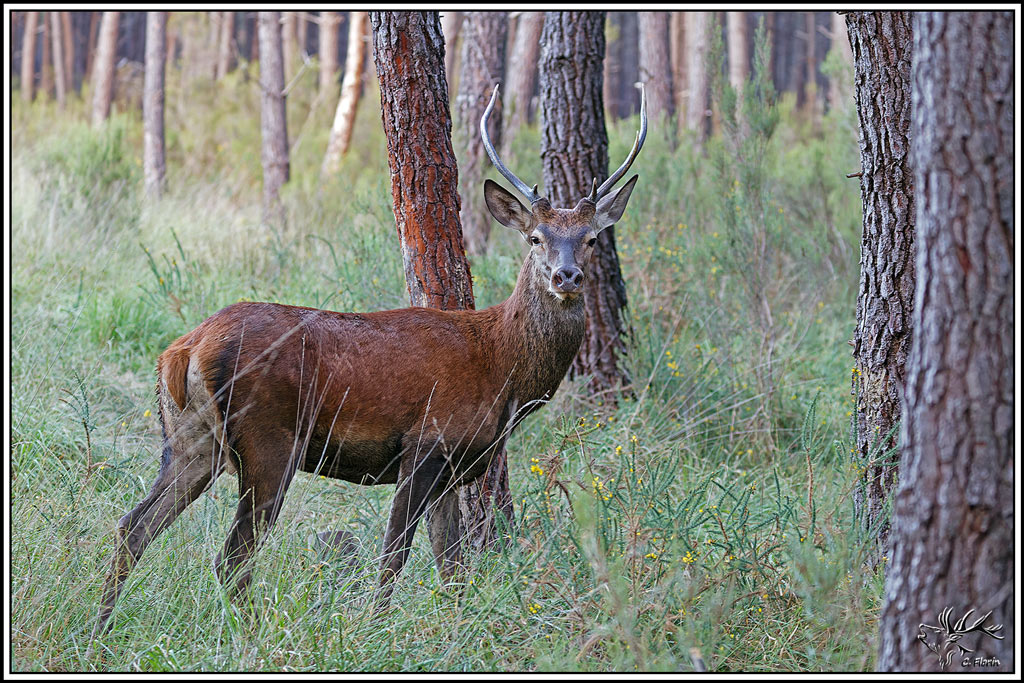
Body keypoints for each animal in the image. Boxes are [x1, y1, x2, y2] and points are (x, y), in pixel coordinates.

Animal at [90, 84, 646, 642]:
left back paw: (98, 632)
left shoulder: (452, 466)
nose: (566, 276)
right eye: (535, 238)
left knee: (133, 527)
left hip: (190, 439)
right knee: (231, 558)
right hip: (267, 440)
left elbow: (452, 568)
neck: (501, 370)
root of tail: (183, 349)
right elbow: (393, 558)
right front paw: (374, 630)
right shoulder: (425, 443)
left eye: (591, 238)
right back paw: (249, 637)